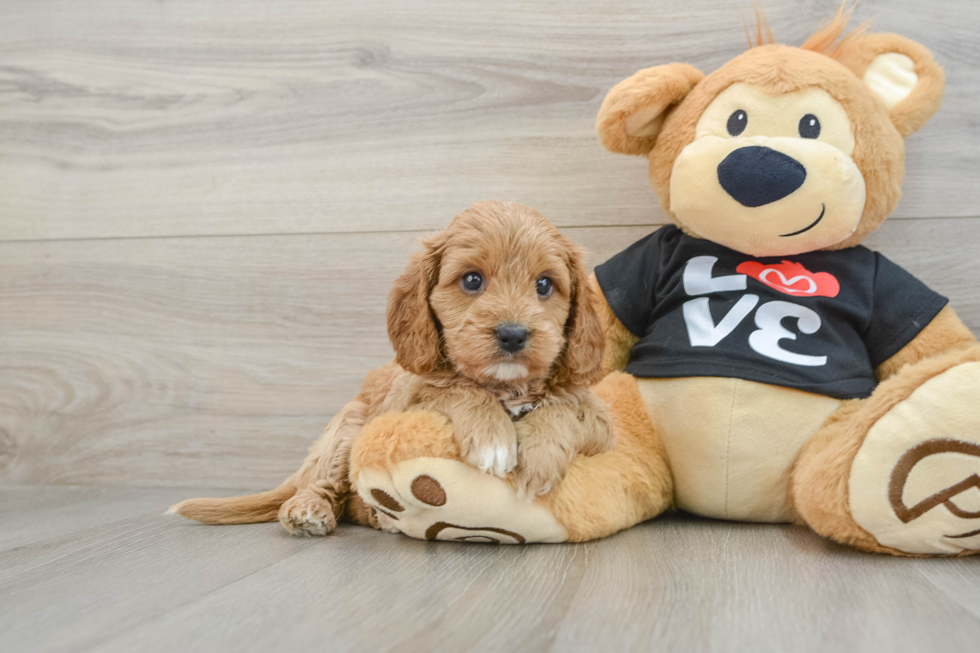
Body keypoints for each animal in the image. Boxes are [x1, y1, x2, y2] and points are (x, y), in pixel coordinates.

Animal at [168, 202, 612, 536]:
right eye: (472, 280)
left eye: (544, 285)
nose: (513, 334)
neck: (506, 387)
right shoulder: (409, 404)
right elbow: (455, 388)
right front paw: (493, 437)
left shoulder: (603, 426)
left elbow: (565, 410)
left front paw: (539, 458)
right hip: (348, 427)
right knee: (327, 486)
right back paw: (310, 510)